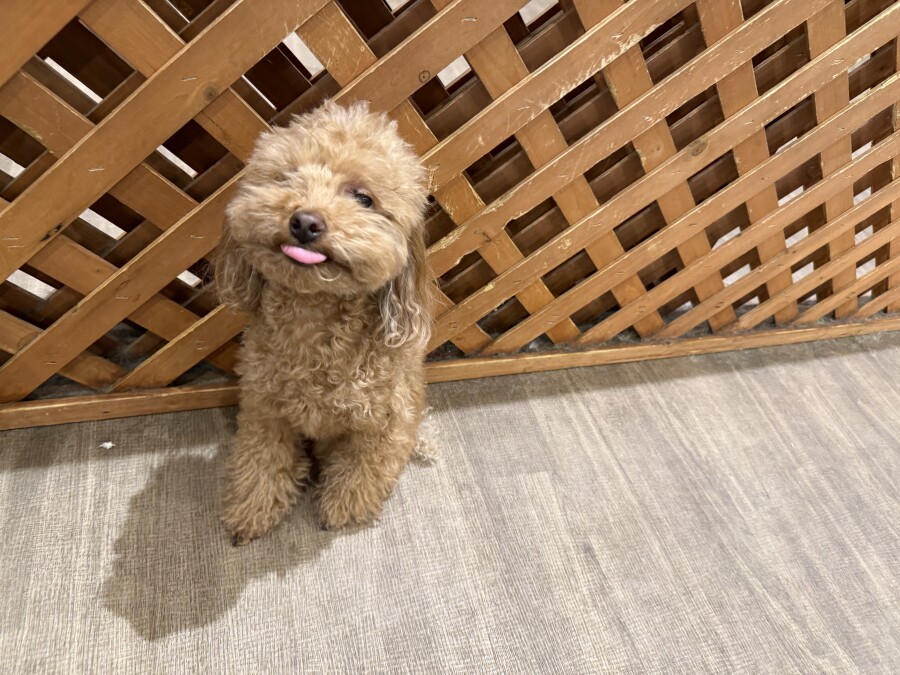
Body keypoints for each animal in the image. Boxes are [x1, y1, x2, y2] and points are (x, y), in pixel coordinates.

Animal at [216, 101, 431, 544]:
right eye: (286, 178)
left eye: (364, 198)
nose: (305, 222)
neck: (313, 321)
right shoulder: (265, 409)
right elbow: (261, 461)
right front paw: (251, 511)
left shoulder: (379, 426)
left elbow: (361, 471)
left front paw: (342, 510)